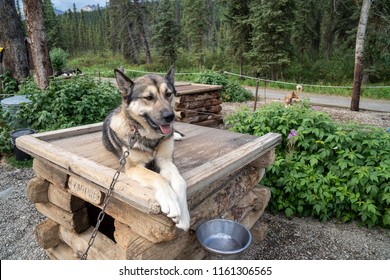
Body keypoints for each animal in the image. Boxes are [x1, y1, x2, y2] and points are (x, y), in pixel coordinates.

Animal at [102, 66, 190, 231]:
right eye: (148, 97)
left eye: (168, 94)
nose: (170, 117)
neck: (150, 138)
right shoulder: (133, 167)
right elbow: (158, 177)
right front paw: (171, 201)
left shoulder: (165, 160)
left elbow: (180, 181)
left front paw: (184, 216)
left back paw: (176, 135)